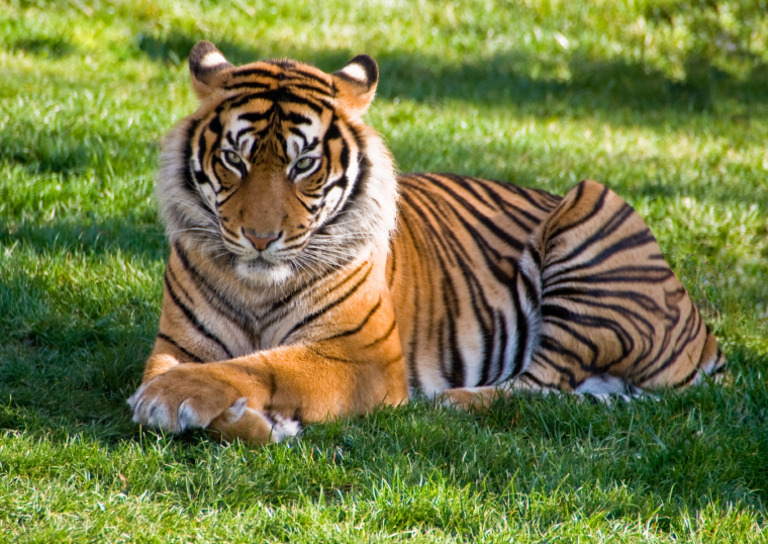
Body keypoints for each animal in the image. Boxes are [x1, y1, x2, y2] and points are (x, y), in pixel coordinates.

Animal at [128, 41, 726, 444]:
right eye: (235, 159)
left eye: (304, 165)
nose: (259, 238)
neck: (257, 287)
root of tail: (705, 335)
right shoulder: (178, 342)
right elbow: (195, 370)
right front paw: (245, 419)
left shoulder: (361, 356)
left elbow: (261, 365)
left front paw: (170, 399)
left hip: (592, 206)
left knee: (542, 384)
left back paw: (451, 401)